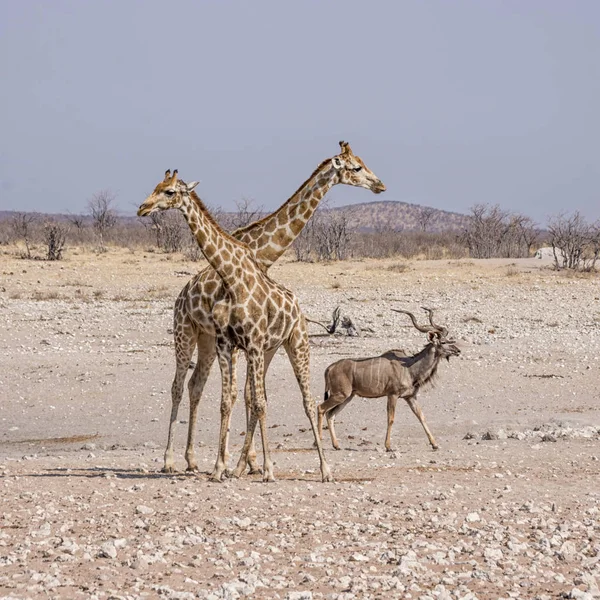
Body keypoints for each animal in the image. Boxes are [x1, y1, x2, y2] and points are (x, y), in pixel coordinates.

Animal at [162, 144, 386, 474]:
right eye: (356, 167)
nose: (379, 185)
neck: (260, 253)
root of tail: (180, 296)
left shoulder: (252, 340)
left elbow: (248, 394)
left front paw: (248, 462)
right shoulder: (239, 339)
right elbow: (239, 394)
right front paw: (239, 462)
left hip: (205, 339)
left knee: (195, 385)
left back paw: (191, 459)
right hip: (185, 332)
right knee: (178, 385)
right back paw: (169, 460)